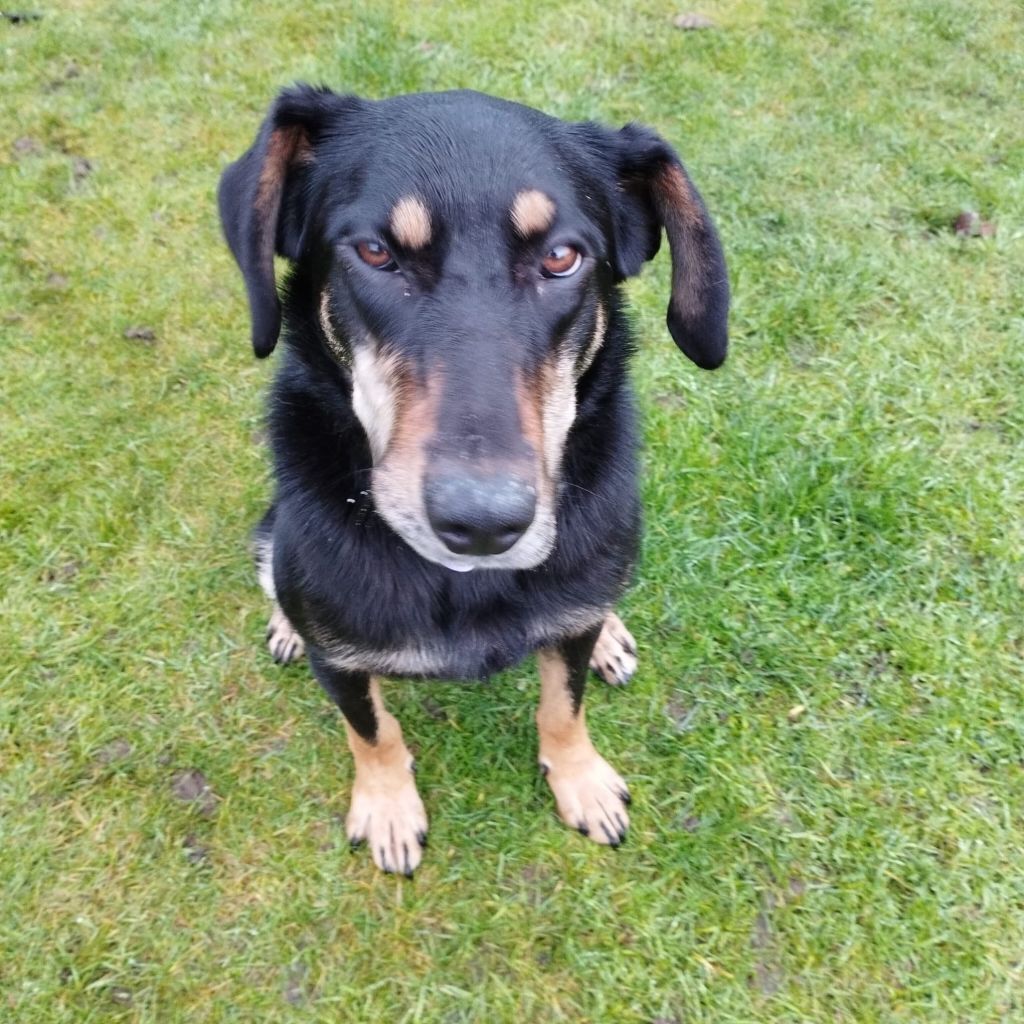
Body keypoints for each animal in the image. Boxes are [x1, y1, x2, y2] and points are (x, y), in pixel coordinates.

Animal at [218, 86, 728, 875]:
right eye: (375, 252)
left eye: (562, 256)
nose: (484, 522)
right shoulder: (342, 660)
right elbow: (372, 730)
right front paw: (389, 808)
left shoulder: (570, 613)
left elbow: (563, 705)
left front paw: (581, 780)